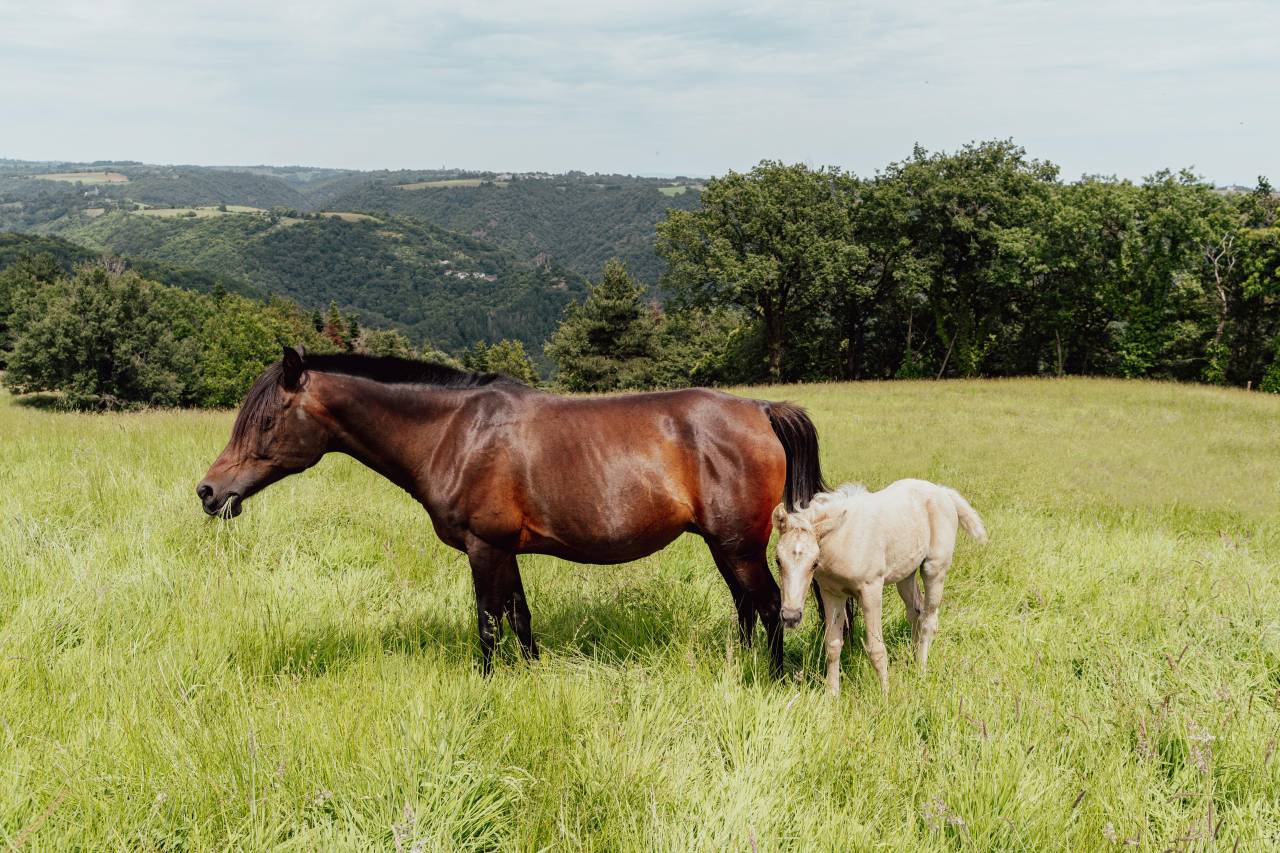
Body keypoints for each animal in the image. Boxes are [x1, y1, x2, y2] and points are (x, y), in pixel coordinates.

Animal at [197, 346, 827, 675]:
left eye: (266, 420)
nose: (208, 492)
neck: (453, 433)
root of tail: (759, 409)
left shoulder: (484, 547)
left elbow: (488, 622)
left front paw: (485, 683)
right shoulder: (506, 551)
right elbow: (520, 618)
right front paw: (530, 676)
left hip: (736, 545)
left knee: (769, 608)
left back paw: (770, 678)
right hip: (724, 545)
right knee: (746, 608)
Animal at [772, 480, 988, 694]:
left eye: (814, 563)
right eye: (777, 560)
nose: (791, 617)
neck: (844, 538)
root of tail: (942, 491)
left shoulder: (871, 590)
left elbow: (876, 648)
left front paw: (885, 694)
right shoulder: (831, 593)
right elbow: (832, 645)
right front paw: (832, 695)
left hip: (935, 568)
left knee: (928, 619)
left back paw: (921, 670)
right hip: (906, 574)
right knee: (915, 613)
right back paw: (912, 660)